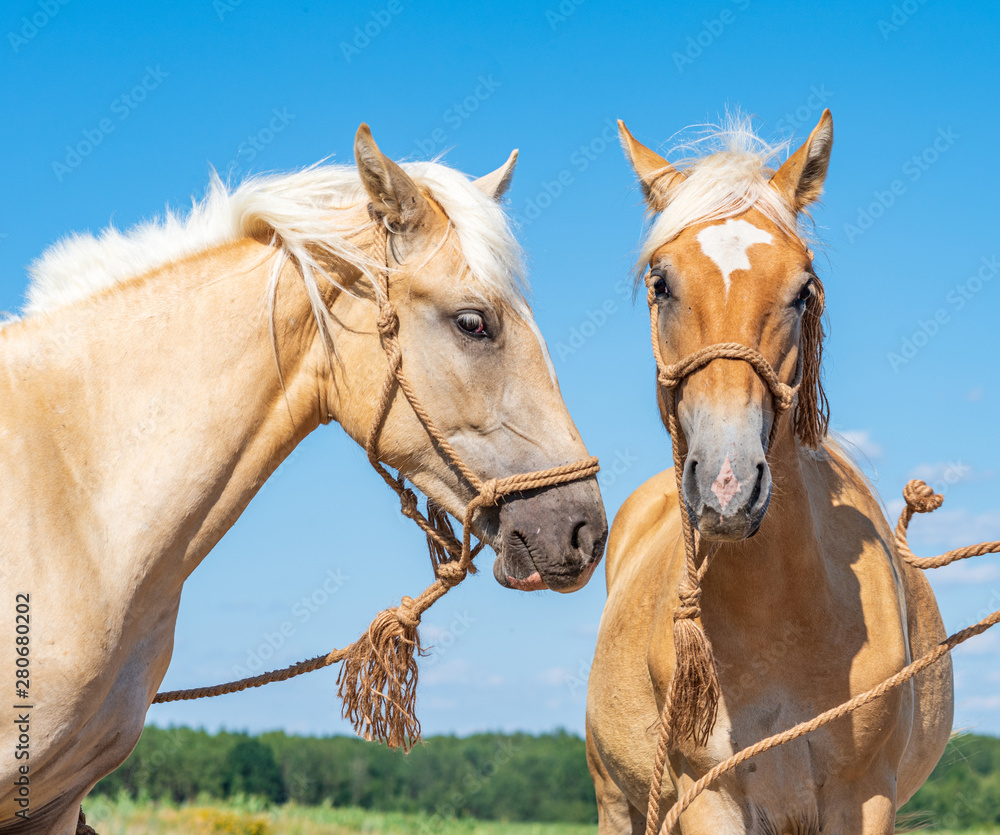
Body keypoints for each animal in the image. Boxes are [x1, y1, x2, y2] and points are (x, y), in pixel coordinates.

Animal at [586, 111, 953, 833]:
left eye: (802, 290)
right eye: (661, 283)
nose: (727, 485)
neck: (779, 613)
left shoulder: (864, 797)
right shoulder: (709, 794)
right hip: (617, 799)